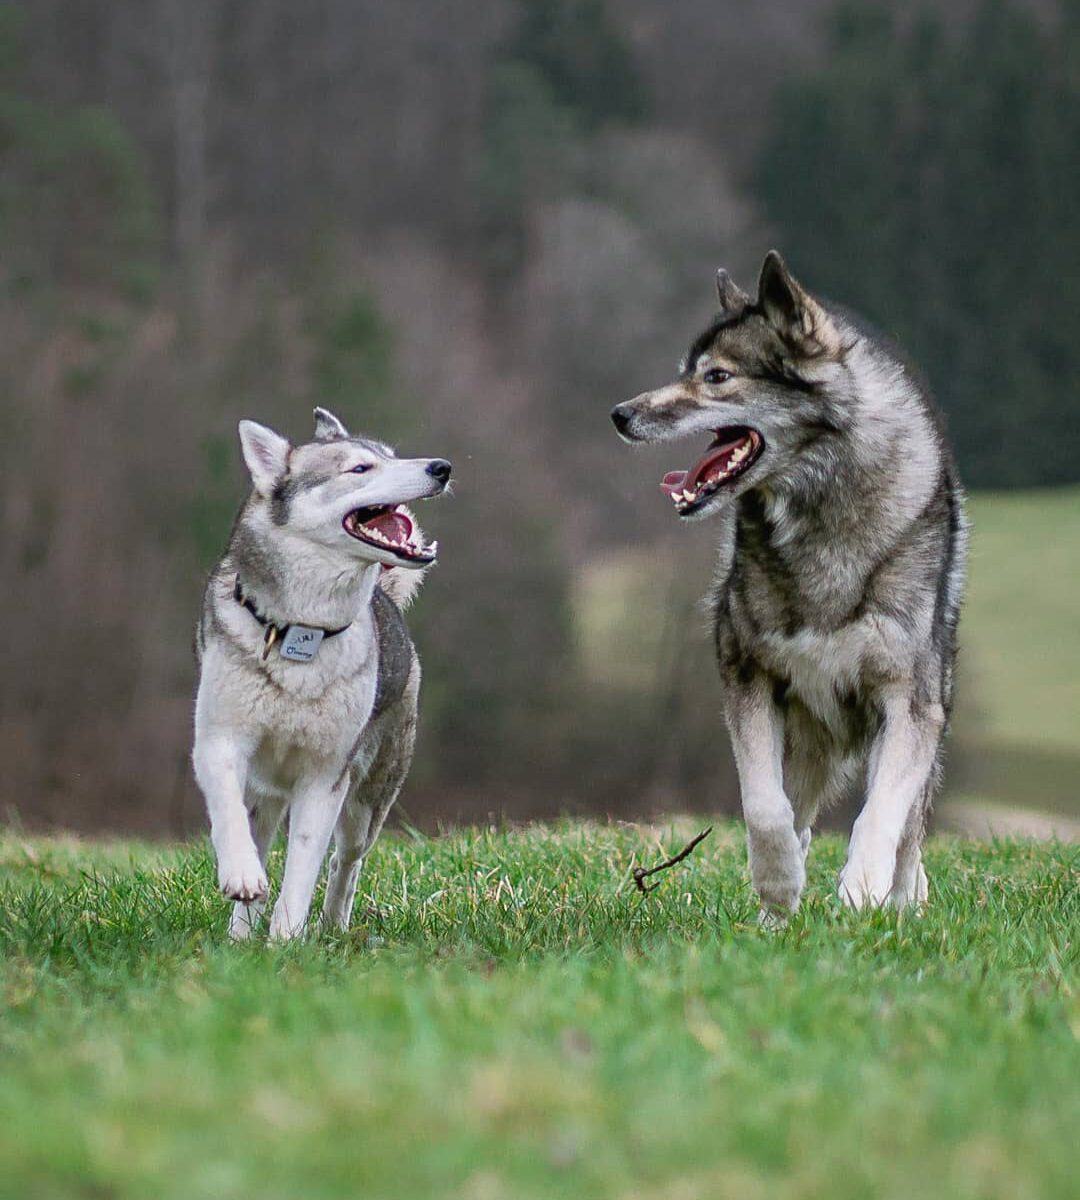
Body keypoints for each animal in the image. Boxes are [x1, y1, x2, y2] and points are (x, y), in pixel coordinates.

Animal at [192, 408, 448, 940]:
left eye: (392, 455)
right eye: (359, 468)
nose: (441, 467)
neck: (300, 631)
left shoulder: (326, 775)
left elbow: (305, 865)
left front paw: (287, 939)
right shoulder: (218, 740)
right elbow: (229, 814)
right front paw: (241, 878)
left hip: (369, 801)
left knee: (345, 863)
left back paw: (332, 924)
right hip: (266, 791)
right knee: (259, 833)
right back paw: (240, 931)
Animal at [612, 248, 964, 912]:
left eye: (717, 377)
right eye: (686, 371)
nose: (620, 414)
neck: (820, 508)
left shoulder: (908, 701)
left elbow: (881, 815)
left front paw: (863, 892)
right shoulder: (748, 677)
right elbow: (764, 807)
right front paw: (779, 885)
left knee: (908, 827)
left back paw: (902, 896)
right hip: (806, 732)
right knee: (796, 811)